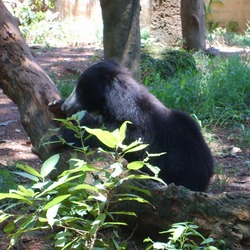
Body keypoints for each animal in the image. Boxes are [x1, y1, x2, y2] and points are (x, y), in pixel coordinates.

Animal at [49, 60, 214, 191]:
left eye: (81, 90)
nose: (66, 106)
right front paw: (56, 104)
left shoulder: (132, 132)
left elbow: (102, 136)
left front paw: (58, 138)